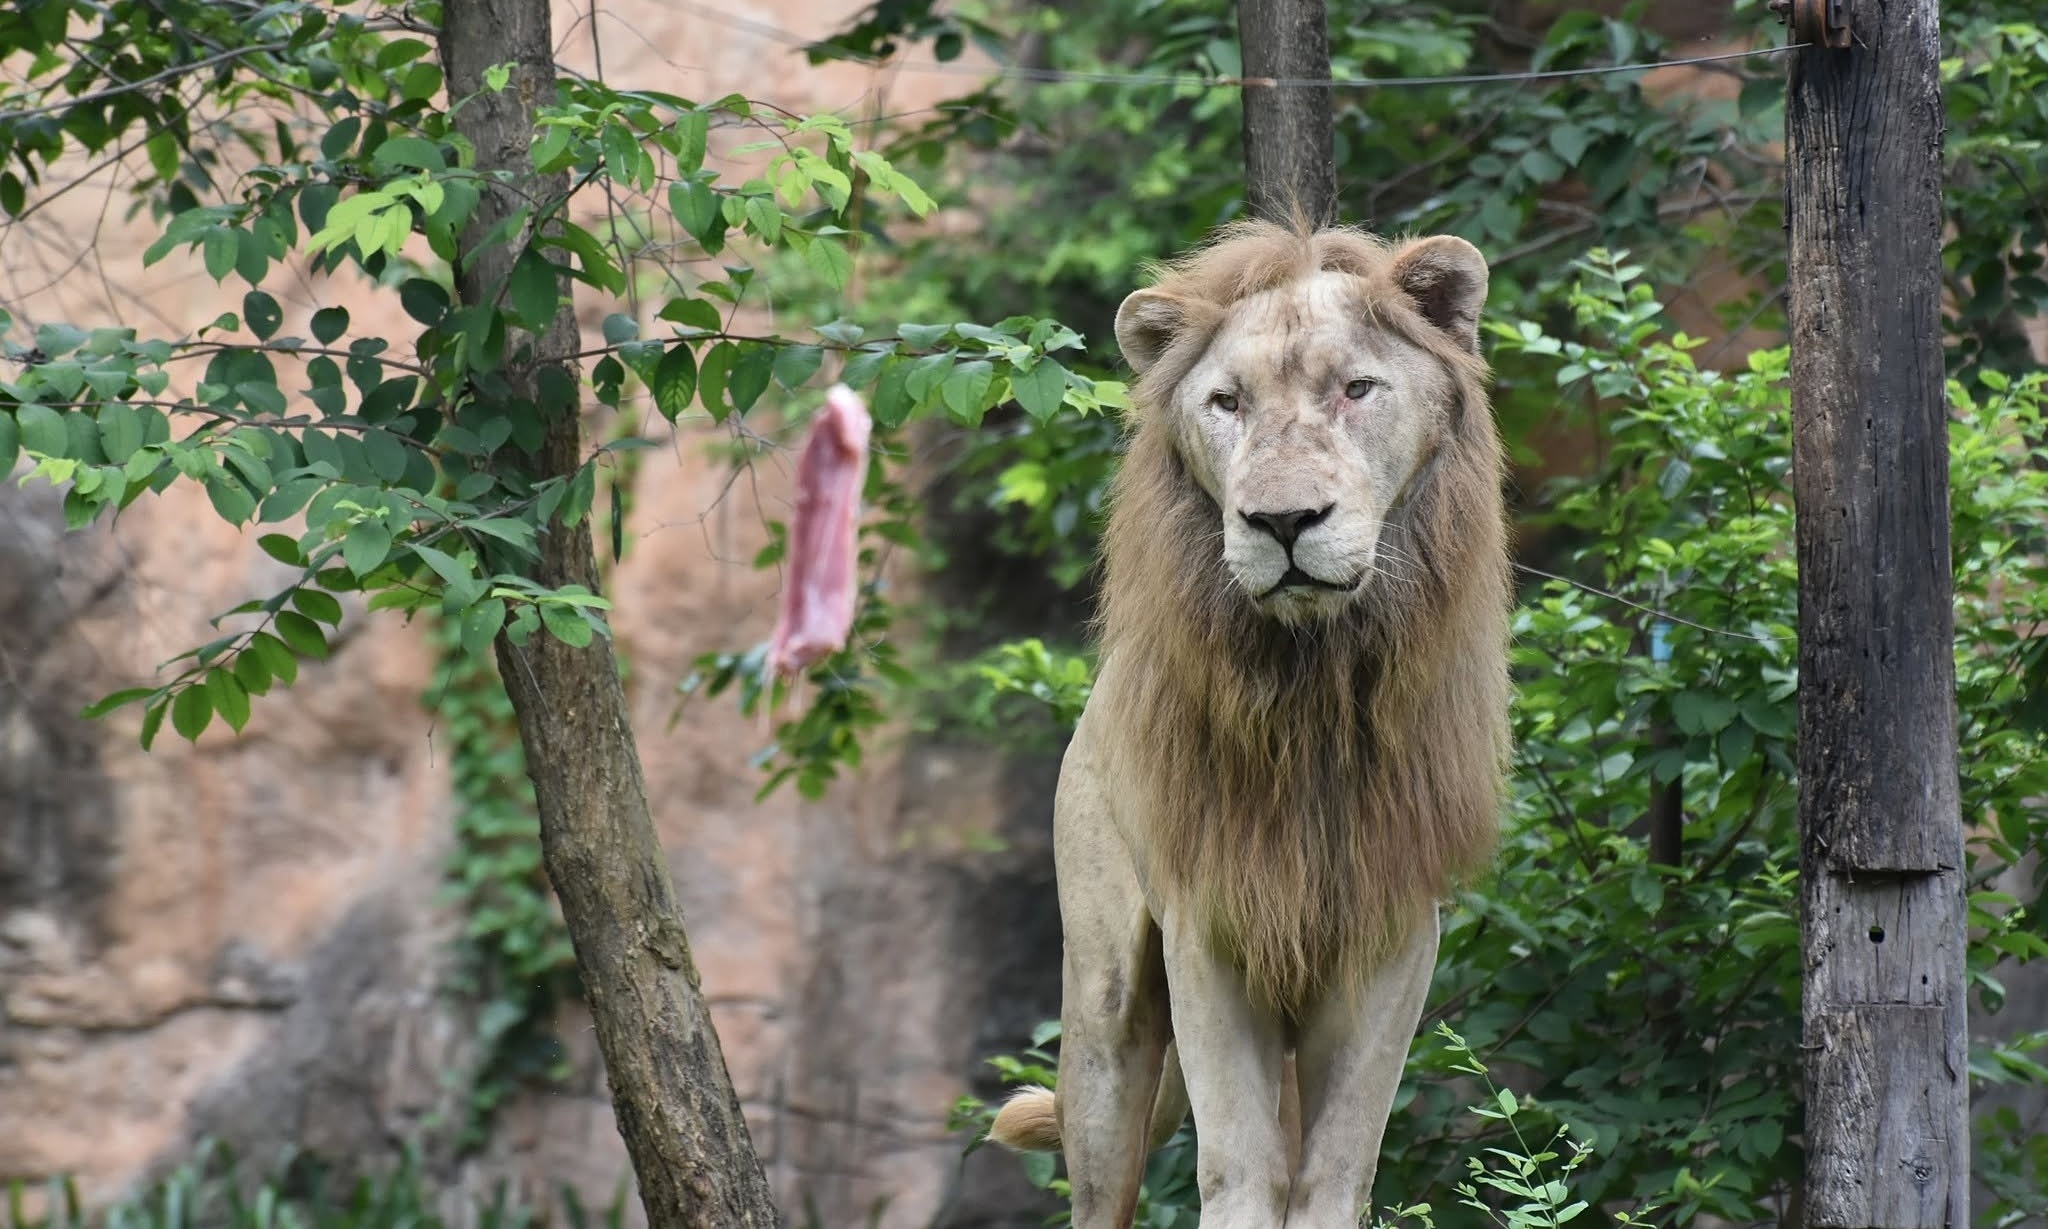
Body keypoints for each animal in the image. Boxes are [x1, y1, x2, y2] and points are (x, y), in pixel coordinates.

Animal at [986, 221, 1511, 1229]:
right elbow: (1239, 1165)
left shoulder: (1392, 937)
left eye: (1357, 389)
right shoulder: (1209, 927)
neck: (1313, 687)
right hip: (1106, 1005)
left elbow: (1333, 1172)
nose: (1284, 521)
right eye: (1227, 402)